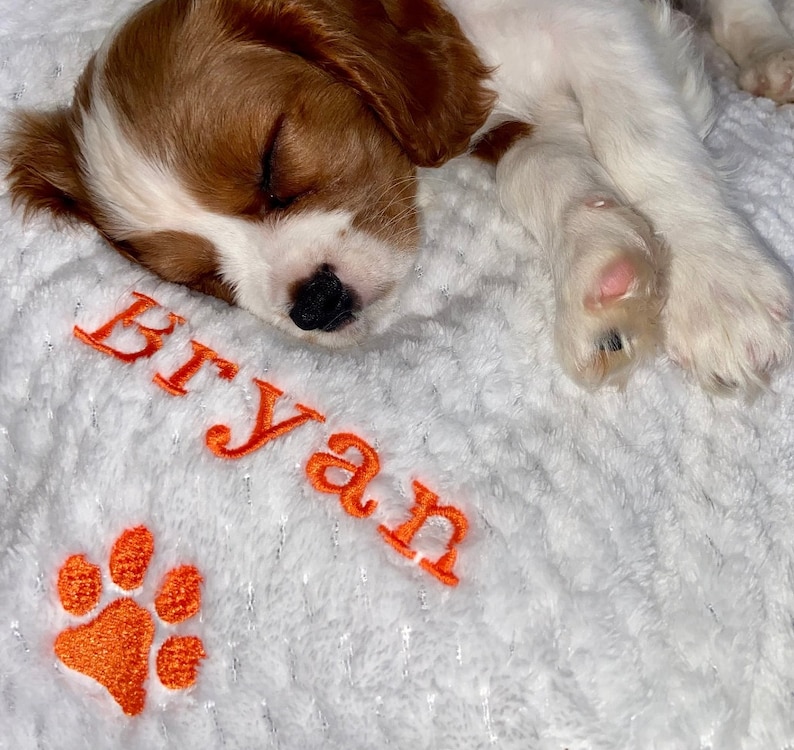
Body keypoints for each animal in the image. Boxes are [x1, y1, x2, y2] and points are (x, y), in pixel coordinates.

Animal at [4, 0, 792, 396]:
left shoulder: (598, 22)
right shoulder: (485, 114)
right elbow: (538, 166)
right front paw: (602, 273)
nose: (315, 305)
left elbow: (641, 140)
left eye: (271, 163)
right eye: (203, 280)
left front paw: (721, 288)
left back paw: (768, 49)